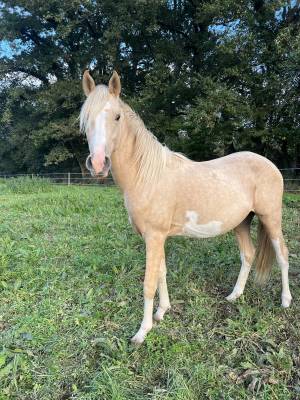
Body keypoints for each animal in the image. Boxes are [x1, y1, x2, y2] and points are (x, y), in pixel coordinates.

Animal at [81, 69, 292, 344]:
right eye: (85, 119)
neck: (147, 176)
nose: (98, 164)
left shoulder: (154, 237)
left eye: (117, 116)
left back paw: (285, 301)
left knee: (283, 254)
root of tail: (270, 165)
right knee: (248, 254)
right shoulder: (156, 238)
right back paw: (234, 296)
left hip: (271, 217)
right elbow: (161, 272)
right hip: (242, 222)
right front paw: (162, 312)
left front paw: (142, 332)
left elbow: (149, 282)